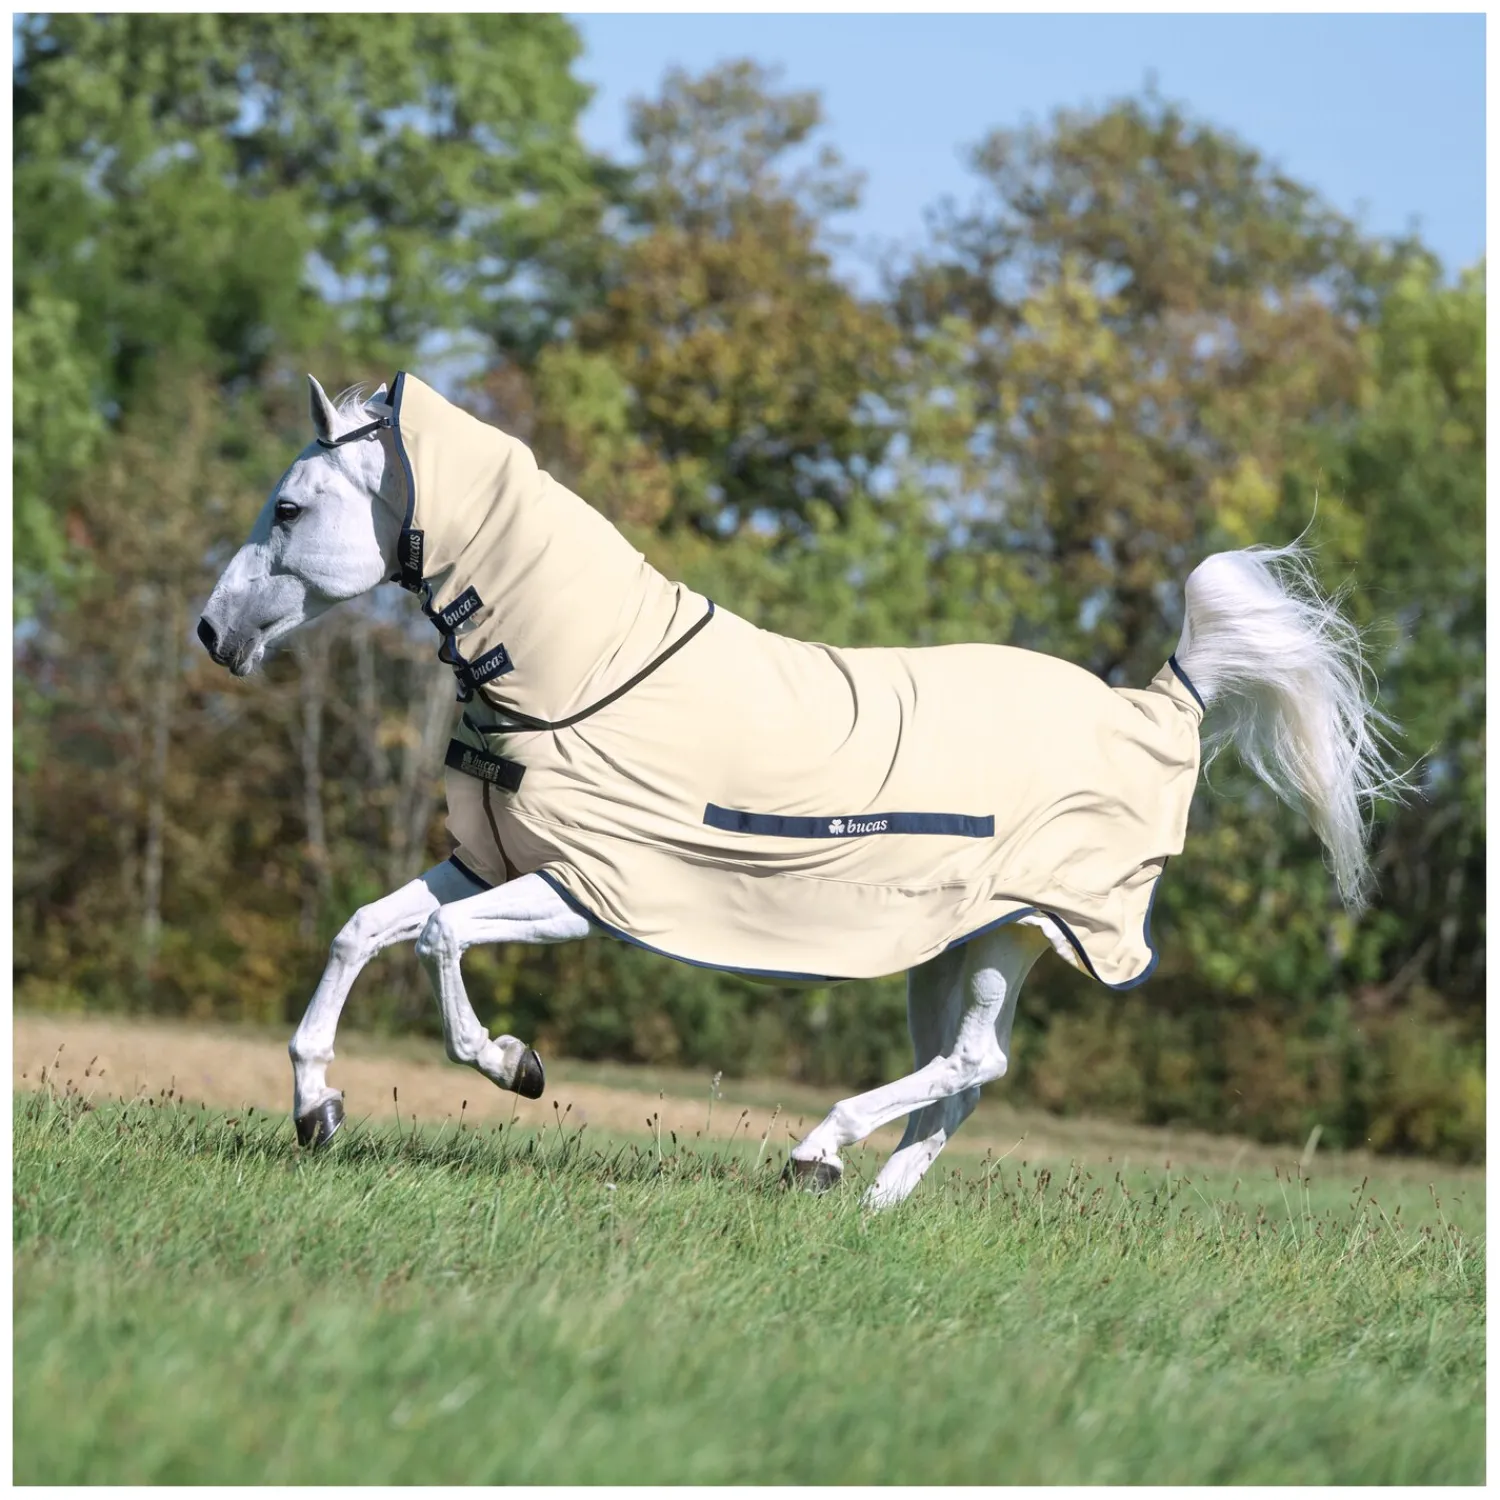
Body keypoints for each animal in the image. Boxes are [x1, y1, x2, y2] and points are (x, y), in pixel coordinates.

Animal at [198, 373, 1402, 1208]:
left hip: (1019, 933)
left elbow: (439, 943)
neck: (582, 678)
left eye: (292, 508)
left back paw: (816, 1153)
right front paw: (317, 1109)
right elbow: (365, 928)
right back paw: (870, 1202)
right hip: (954, 946)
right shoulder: (490, 861)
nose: (211, 633)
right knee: (966, 1072)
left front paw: (515, 1066)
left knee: (974, 1058)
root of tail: (1163, 703)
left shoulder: (582, 892)